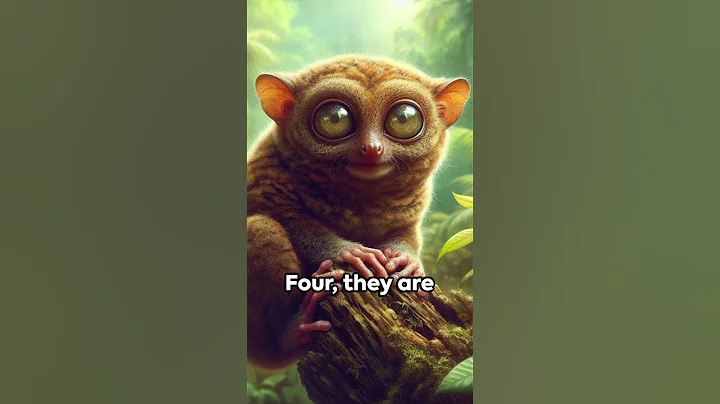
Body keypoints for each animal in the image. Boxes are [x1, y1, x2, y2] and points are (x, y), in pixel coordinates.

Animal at [247, 55, 470, 370]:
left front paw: (405, 261)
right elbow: (283, 215)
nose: (371, 148)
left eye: (403, 118)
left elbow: (407, 232)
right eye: (334, 118)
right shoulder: (263, 173)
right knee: (260, 229)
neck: (360, 194)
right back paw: (293, 331)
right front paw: (350, 253)